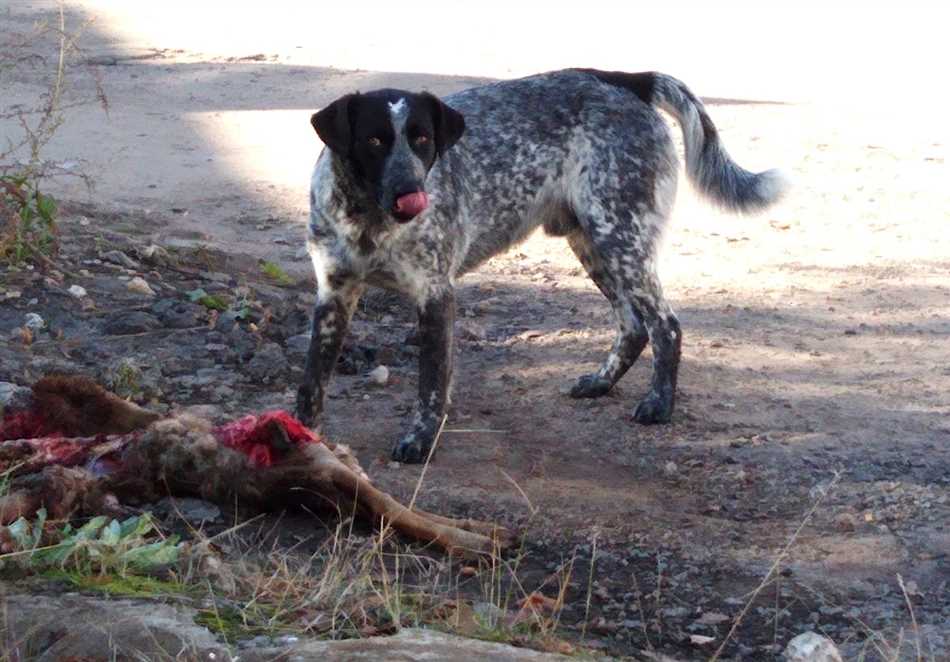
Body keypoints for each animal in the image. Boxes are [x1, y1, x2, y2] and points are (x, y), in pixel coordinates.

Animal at [298, 67, 788, 462]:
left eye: (423, 139)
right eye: (374, 140)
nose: (410, 192)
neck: (369, 221)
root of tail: (628, 79)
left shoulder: (435, 296)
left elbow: (431, 385)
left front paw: (420, 440)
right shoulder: (333, 296)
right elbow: (311, 384)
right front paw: (301, 443)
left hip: (620, 239)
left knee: (665, 325)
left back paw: (659, 405)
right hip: (593, 244)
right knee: (634, 325)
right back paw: (601, 383)